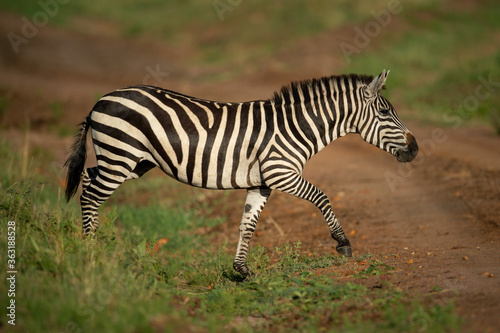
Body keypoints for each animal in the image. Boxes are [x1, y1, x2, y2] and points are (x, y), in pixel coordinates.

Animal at [66, 68, 418, 276]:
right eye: (385, 112)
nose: (415, 149)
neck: (296, 128)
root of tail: (100, 101)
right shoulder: (281, 173)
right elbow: (322, 197)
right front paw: (342, 242)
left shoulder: (262, 183)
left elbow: (247, 225)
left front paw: (241, 270)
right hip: (121, 155)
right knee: (90, 196)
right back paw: (89, 254)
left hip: (131, 161)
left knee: (87, 180)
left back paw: (92, 246)